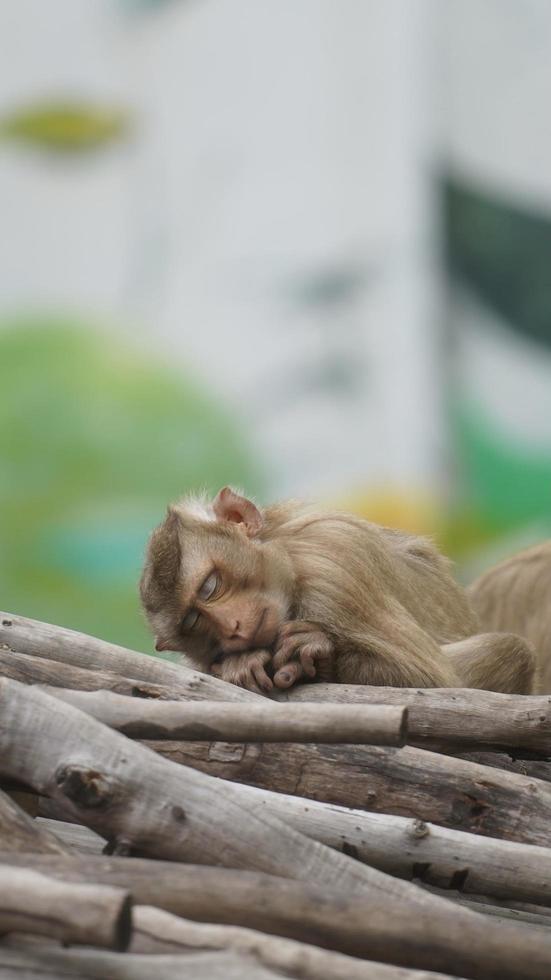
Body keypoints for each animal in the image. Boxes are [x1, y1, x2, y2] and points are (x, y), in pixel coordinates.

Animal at [139, 488, 540, 696]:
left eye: (210, 586)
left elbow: (431, 680)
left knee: (509, 650)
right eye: (193, 621)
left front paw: (320, 653)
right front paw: (243, 661)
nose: (234, 628)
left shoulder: (334, 562)